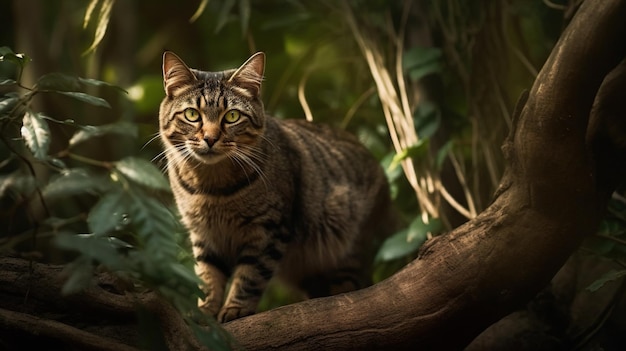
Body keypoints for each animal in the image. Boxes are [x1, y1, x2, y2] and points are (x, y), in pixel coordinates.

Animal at [158, 51, 392, 324]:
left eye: (232, 116)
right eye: (192, 115)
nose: (210, 138)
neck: (212, 188)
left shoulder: (268, 230)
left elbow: (250, 276)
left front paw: (235, 308)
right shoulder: (204, 236)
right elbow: (208, 278)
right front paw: (204, 312)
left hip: (347, 252)